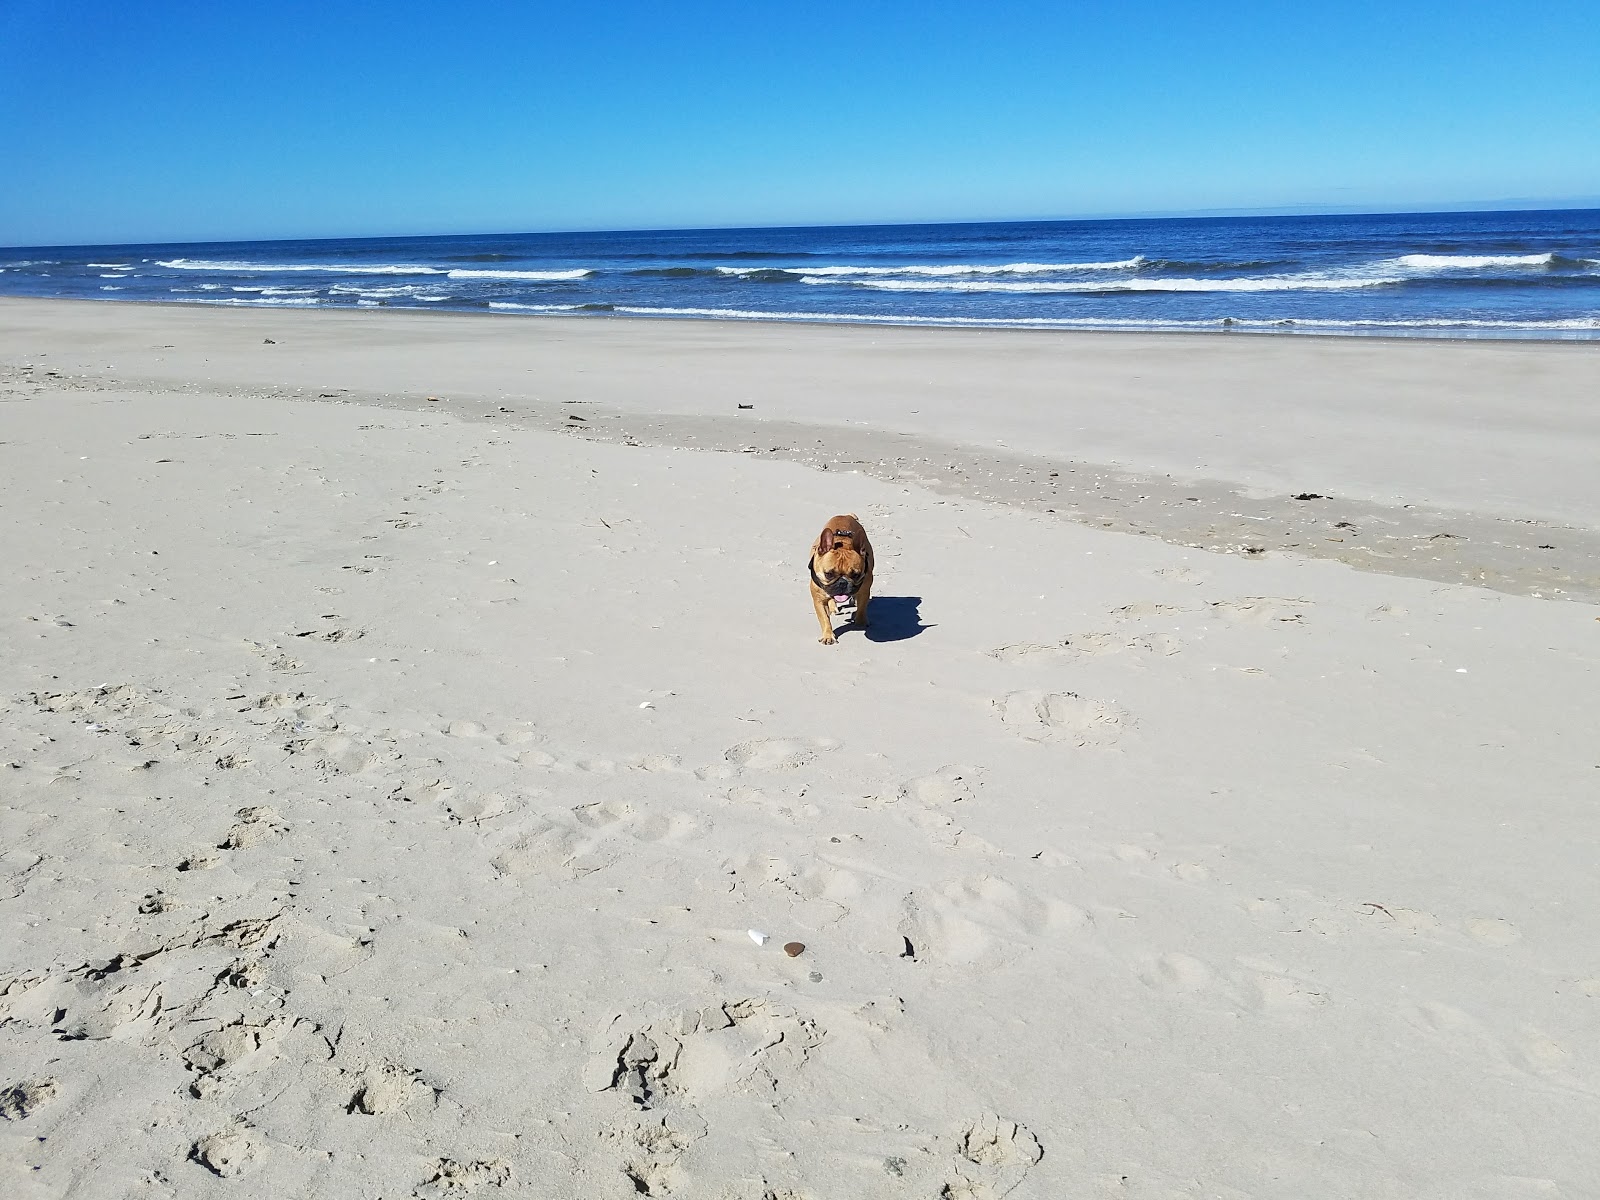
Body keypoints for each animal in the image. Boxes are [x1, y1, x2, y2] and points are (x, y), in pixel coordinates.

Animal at [812, 518, 876, 649]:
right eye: (829, 574)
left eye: (855, 575)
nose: (842, 583)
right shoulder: (819, 600)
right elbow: (824, 619)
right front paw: (828, 636)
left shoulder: (864, 590)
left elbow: (862, 606)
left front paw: (860, 622)